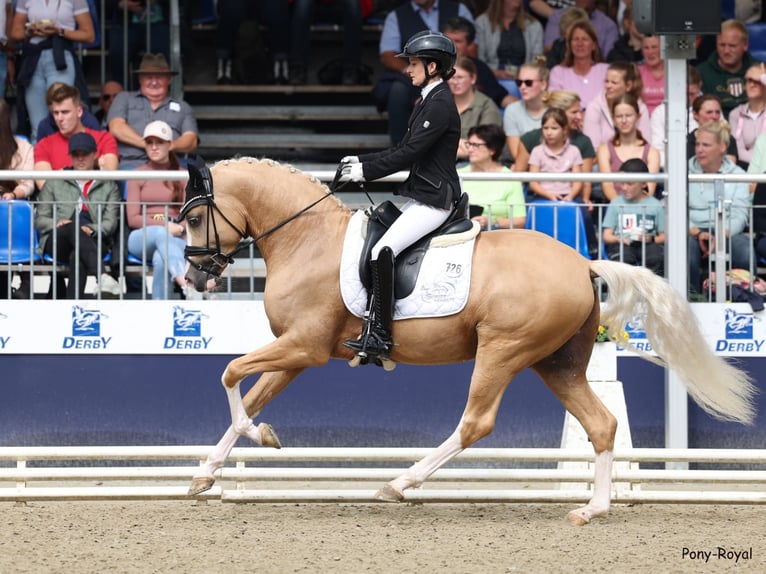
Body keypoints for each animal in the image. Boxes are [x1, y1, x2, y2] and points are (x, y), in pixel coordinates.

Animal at [182, 158, 756, 528]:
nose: (192, 277)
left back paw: (401, 484)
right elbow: (253, 393)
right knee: (602, 424)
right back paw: (593, 509)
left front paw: (256, 437)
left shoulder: (305, 346)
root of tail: (584, 263)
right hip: (558, 364)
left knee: (476, 422)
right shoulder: (298, 350)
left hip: (502, 350)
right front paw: (210, 471)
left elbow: (230, 374)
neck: (306, 238)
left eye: (192, 217)